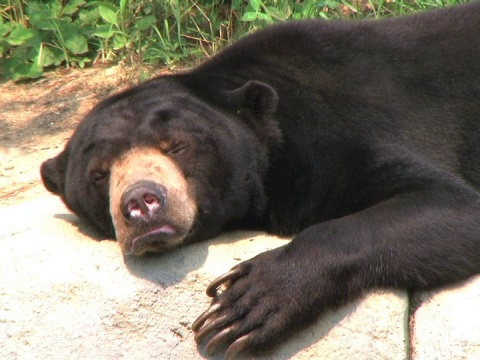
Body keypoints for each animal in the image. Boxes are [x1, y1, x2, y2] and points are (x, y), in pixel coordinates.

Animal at [42, 4, 480, 358]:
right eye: (100, 173)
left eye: (176, 147)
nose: (142, 201)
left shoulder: (338, 132)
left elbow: (449, 203)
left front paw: (244, 305)